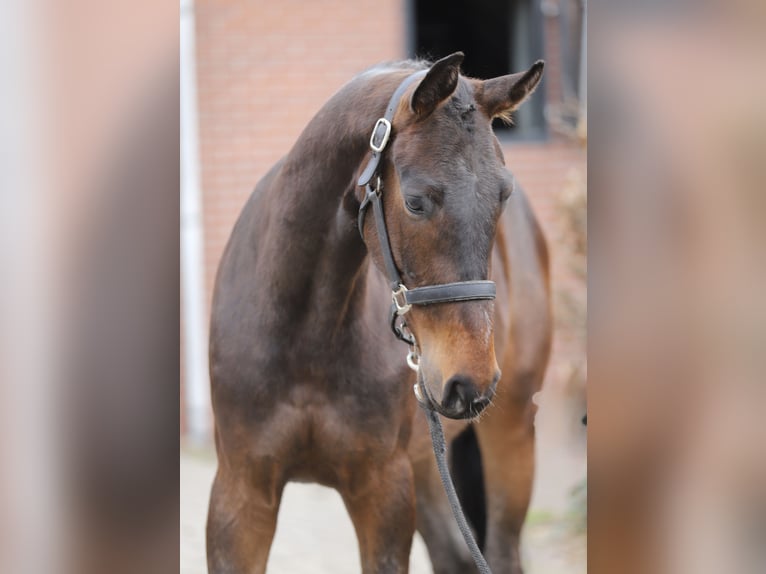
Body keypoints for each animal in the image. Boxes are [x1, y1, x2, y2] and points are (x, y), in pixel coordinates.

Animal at [206, 52, 552, 574]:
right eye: (414, 202)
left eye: (502, 196)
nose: (469, 382)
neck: (306, 336)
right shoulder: (240, 493)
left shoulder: (383, 492)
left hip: (510, 432)